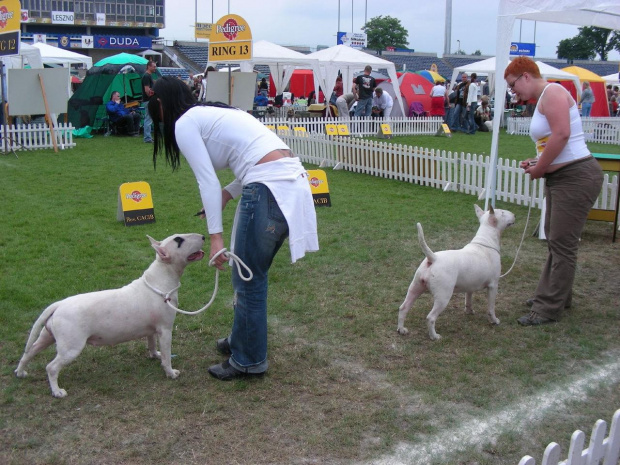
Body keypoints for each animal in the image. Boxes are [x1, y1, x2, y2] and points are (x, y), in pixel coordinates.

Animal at [14, 234, 206, 396]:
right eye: (179, 240)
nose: (204, 236)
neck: (161, 279)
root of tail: (58, 305)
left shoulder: (152, 329)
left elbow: (151, 344)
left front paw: (154, 355)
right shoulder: (165, 330)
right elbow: (167, 355)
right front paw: (171, 373)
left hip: (47, 336)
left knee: (29, 352)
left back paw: (21, 372)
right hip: (71, 346)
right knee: (51, 367)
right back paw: (57, 391)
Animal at [400, 205, 516, 338]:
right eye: (502, 212)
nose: (514, 215)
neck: (486, 242)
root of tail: (433, 258)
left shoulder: (470, 285)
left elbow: (468, 299)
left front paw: (469, 311)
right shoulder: (493, 285)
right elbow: (491, 308)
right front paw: (494, 320)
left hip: (415, 287)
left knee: (403, 307)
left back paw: (401, 329)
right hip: (443, 295)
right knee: (430, 317)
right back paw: (434, 336)